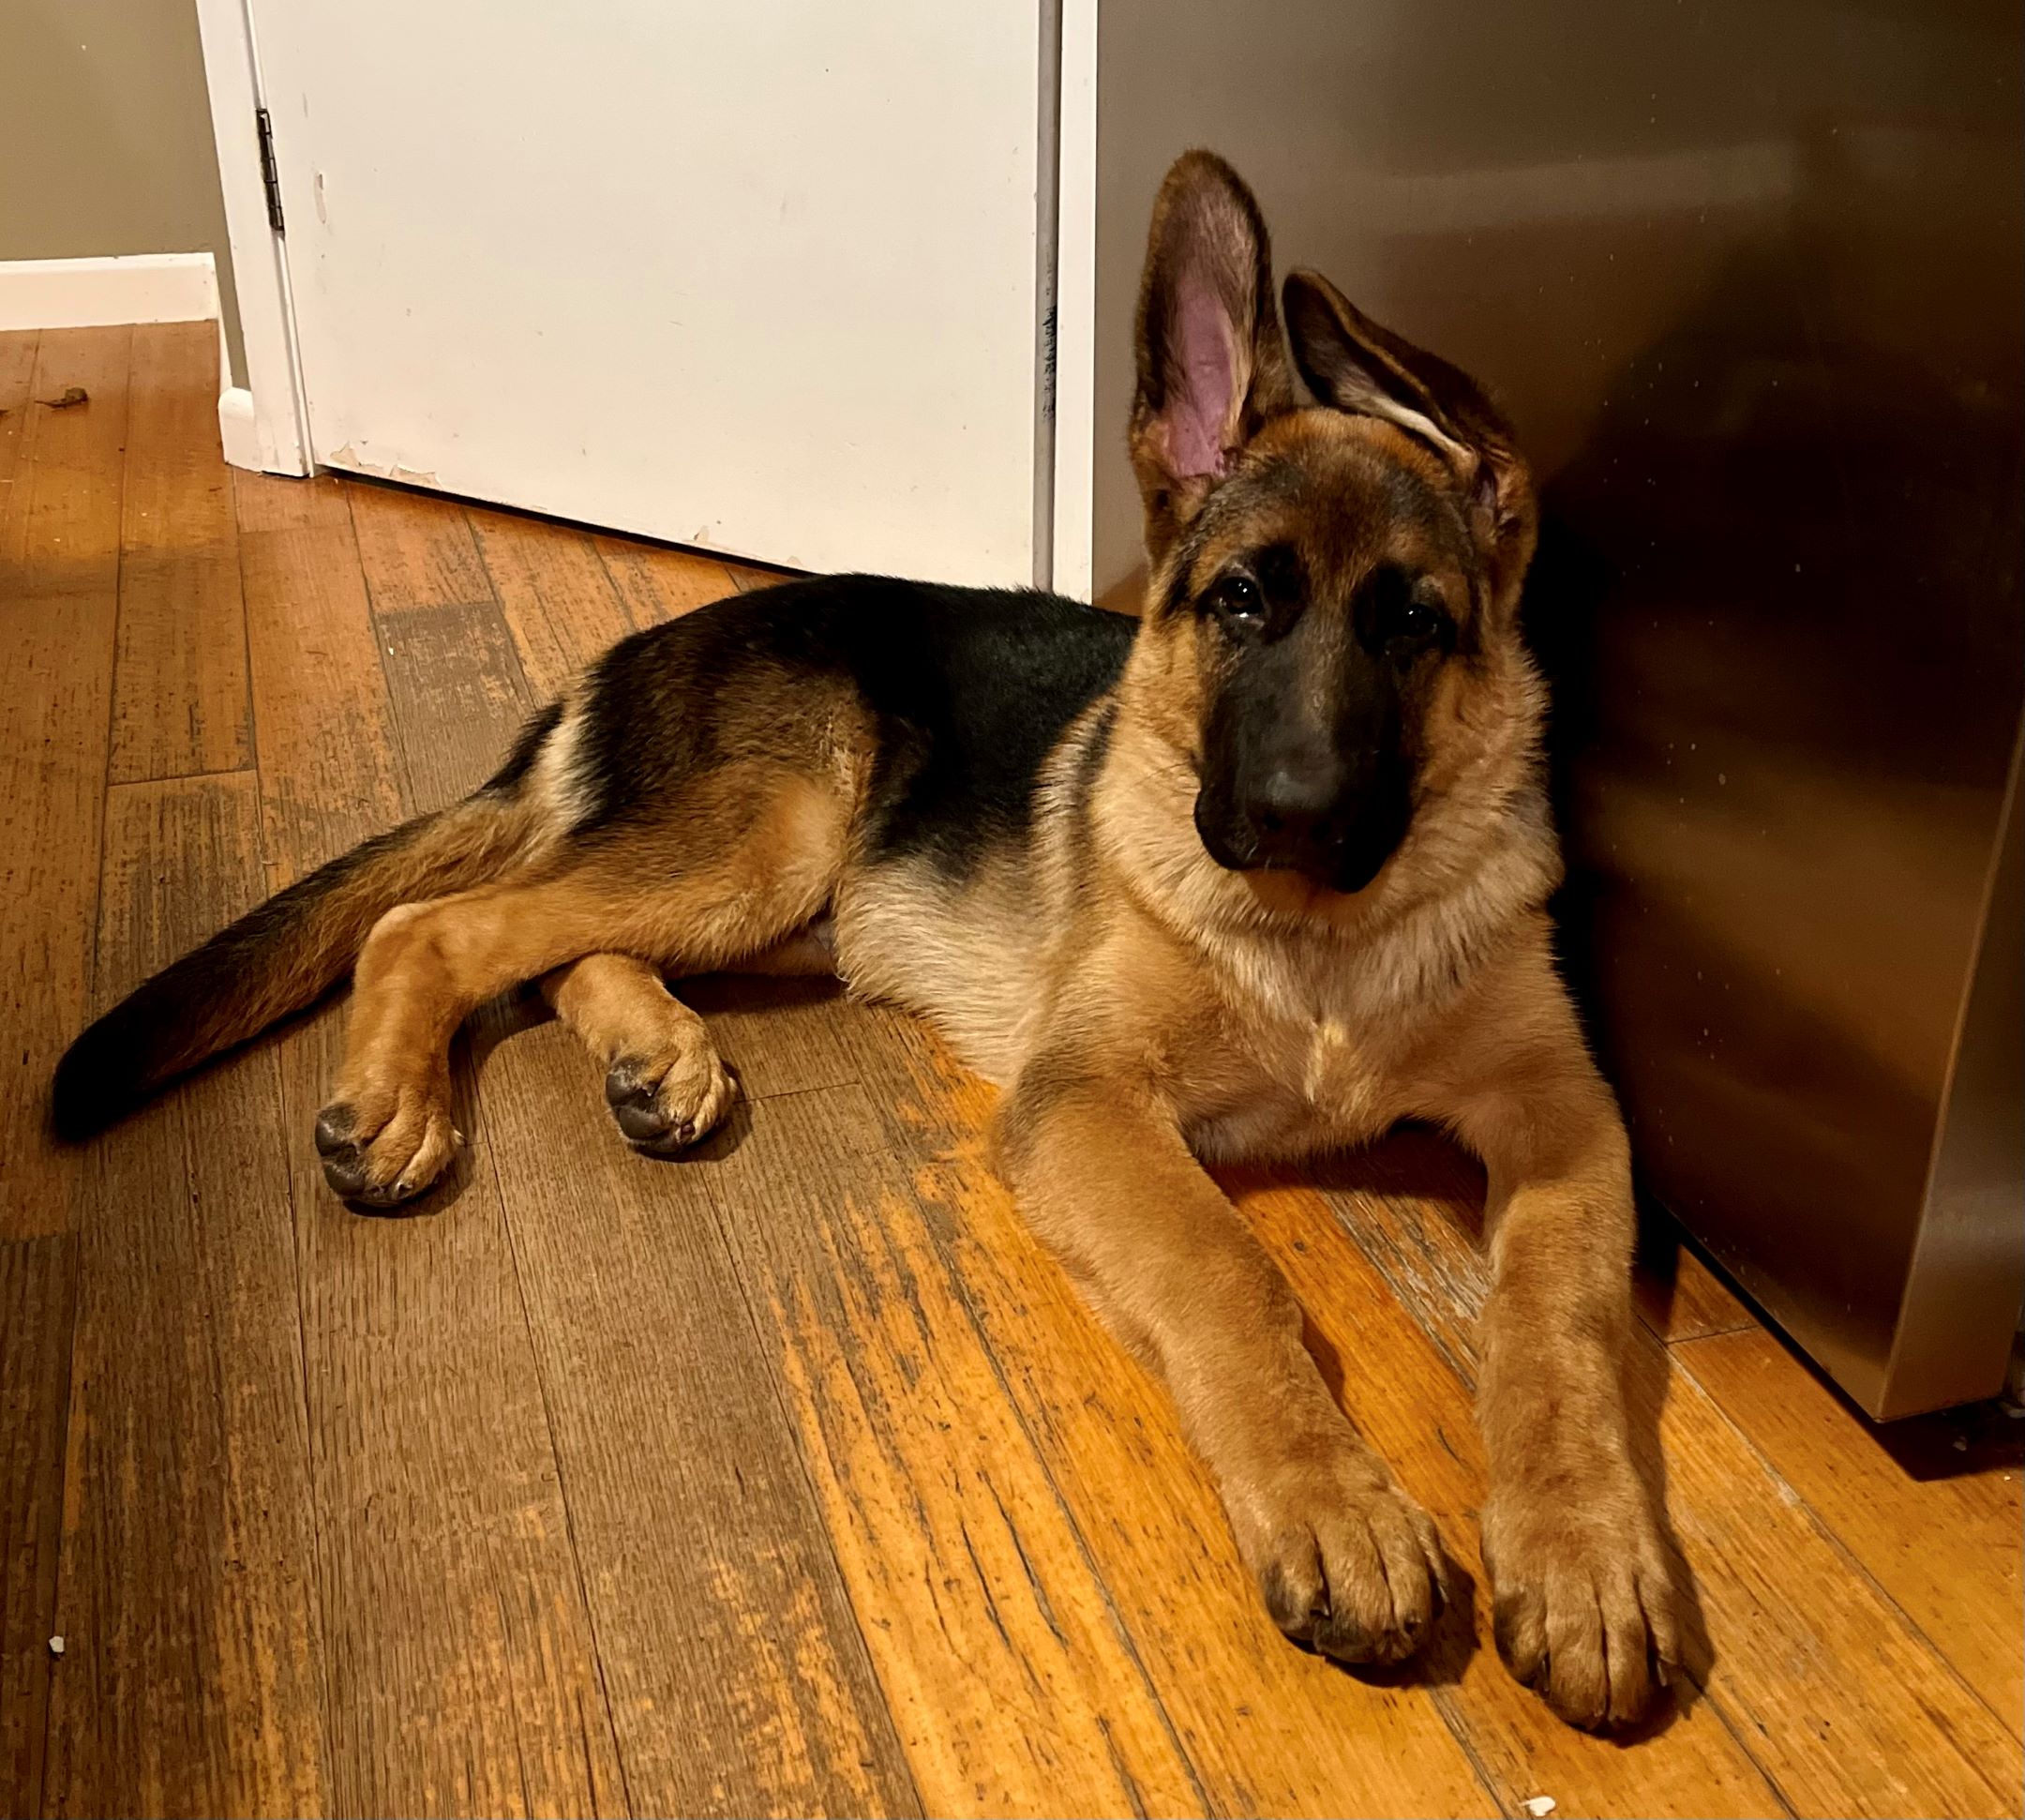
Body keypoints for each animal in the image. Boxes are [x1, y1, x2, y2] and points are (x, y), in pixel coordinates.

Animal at [59, 153, 1676, 1724]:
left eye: (1415, 624)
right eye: (1239, 603)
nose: (1294, 814)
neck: (1326, 949)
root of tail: (621, 654)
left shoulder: (1568, 1120)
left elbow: (1560, 1324)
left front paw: (1587, 1551)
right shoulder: (1086, 1102)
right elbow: (1231, 1275)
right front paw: (1335, 1506)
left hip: (807, 906)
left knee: (558, 943)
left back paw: (657, 1058)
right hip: (774, 849)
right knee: (437, 922)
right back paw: (397, 1099)